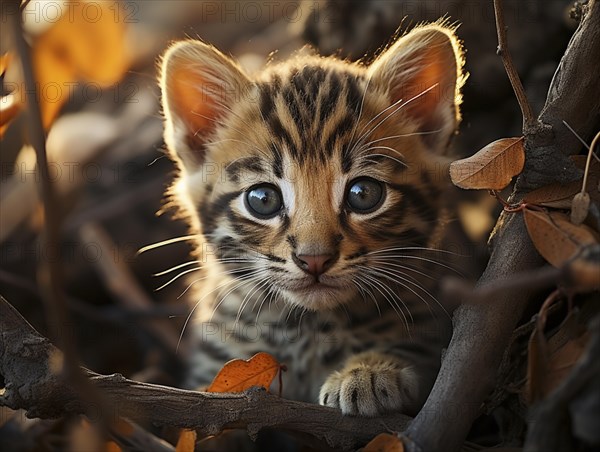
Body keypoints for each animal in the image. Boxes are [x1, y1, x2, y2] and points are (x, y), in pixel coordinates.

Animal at [158, 21, 464, 416]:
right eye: (263, 200)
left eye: (363, 194)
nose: (314, 259)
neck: (305, 327)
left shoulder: (427, 320)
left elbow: (415, 344)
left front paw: (370, 371)